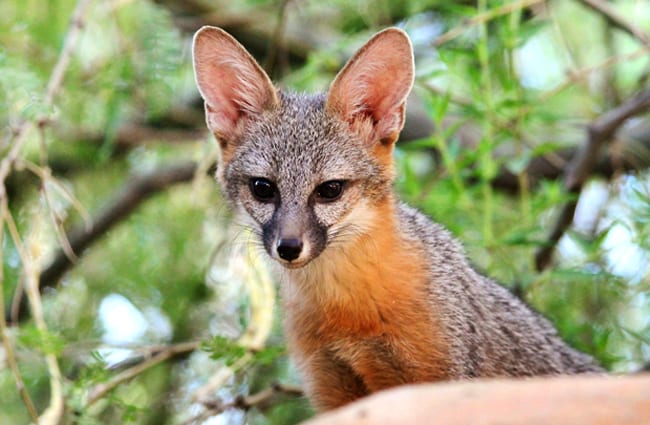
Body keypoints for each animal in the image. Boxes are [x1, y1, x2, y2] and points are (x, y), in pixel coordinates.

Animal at [190, 24, 600, 410]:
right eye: (263, 188)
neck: (347, 311)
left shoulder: (439, 380)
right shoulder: (333, 389)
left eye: (330, 190)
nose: (288, 247)